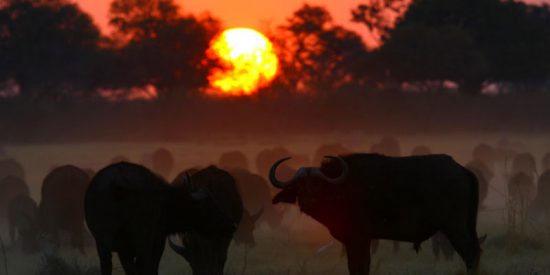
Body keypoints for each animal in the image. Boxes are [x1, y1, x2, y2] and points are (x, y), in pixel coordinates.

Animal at [87, 164, 239, 275]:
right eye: (209, 204)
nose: (232, 225)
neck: (166, 201)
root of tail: (117, 183)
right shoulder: (158, 240)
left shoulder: (124, 251)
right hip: (142, 240)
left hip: (103, 242)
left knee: (107, 266)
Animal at [270, 154, 484, 274]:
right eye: (299, 186)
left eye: (317, 184)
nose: (309, 201)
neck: (342, 189)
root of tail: (463, 171)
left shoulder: (359, 239)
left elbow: (359, 266)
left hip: (455, 227)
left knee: (471, 254)